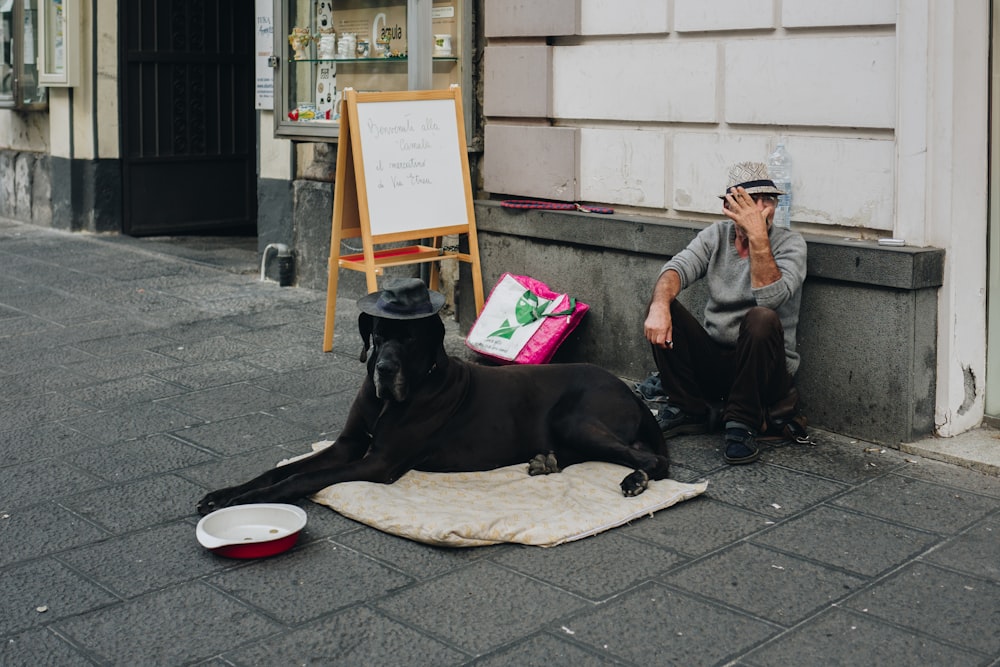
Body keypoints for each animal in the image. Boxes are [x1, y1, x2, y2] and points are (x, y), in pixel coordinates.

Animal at [197, 280, 672, 516]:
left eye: (409, 340)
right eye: (378, 333)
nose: (384, 369)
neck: (391, 399)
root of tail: (627, 390)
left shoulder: (378, 461)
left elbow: (299, 479)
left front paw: (245, 502)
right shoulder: (348, 444)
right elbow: (280, 470)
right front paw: (225, 494)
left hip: (574, 416)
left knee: (652, 459)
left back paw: (634, 479)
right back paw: (547, 460)